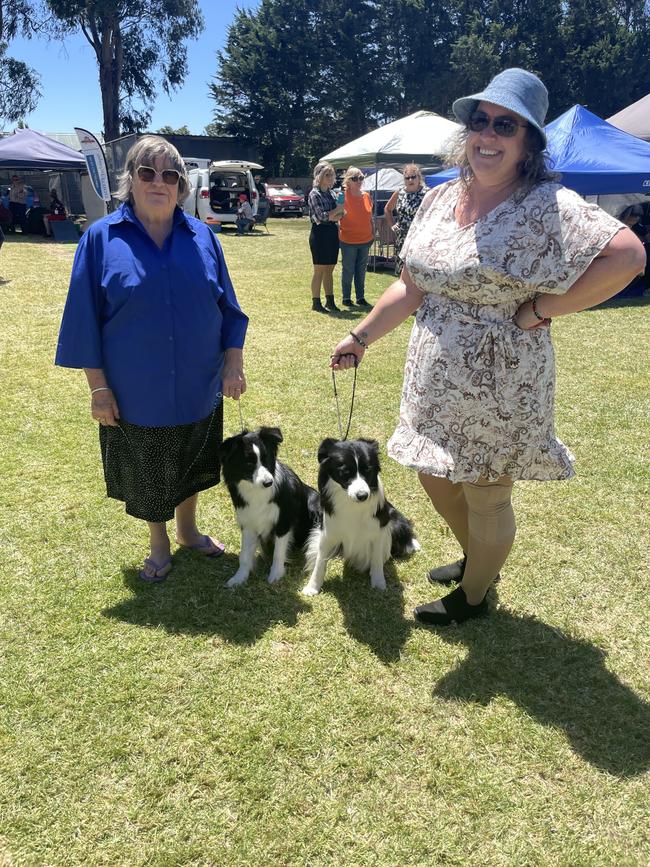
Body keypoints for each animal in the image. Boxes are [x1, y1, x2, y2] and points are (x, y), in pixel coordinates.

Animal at [218, 428, 318, 588]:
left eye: (266, 459)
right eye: (248, 463)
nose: (268, 483)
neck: (256, 490)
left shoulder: (283, 521)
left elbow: (278, 552)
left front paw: (276, 575)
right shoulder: (248, 522)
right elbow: (244, 555)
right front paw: (239, 578)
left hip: (313, 501)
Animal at [300, 440, 418, 596]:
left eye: (368, 470)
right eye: (345, 472)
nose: (362, 496)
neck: (352, 505)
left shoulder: (378, 531)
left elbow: (376, 559)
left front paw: (378, 583)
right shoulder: (328, 532)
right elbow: (320, 561)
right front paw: (313, 587)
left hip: (394, 519)